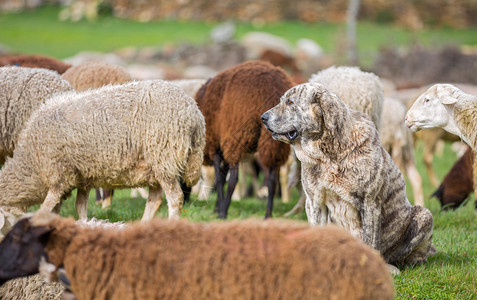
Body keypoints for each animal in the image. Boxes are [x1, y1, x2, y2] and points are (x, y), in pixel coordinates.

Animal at [0, 79, 203, 227]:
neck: (30, 161)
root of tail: (195, 113)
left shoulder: (58, 174)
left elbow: (45, 208)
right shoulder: (82, 177)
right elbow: (79, 207)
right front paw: (84, 224)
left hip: (164, 156)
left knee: (175, 198)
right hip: (154, 167)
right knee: (155, 201)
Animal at [194, 60, 292, 218]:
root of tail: (271, 89)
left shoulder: (216, 146)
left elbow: (220, 178)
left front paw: (218, 208)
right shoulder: (222, 146)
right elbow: (222, 176)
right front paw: (217, 206)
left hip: (237, 135)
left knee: (234, 178)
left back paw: (224, 213)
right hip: (275, 142)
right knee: (272, 179)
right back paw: (267, 216)